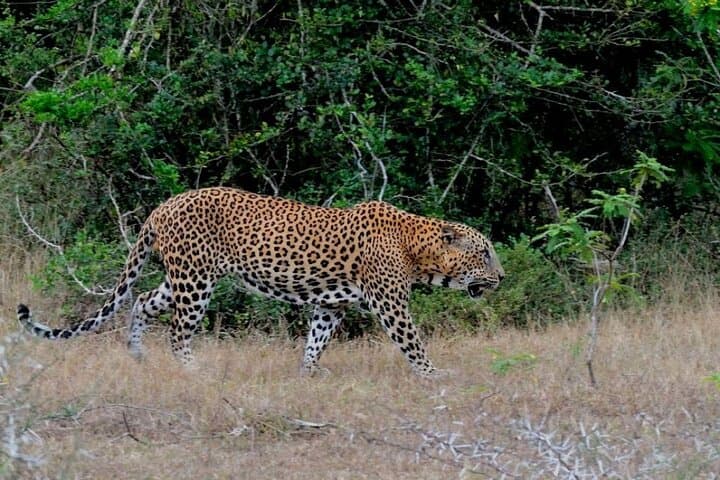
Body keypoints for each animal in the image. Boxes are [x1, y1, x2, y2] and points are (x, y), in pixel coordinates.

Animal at [17, 187, 504, 377]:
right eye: (484, 253)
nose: (502, 276)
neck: (417, 248)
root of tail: (162, 207)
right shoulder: (390, 303)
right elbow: (413, 343)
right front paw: (435, 377)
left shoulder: (331, 305)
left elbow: (315, 340)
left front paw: (307, 375)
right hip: (195, 281)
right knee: (178, 331)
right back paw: (192, 370)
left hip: (179, 278)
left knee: (141, 302)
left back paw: (137, 354)